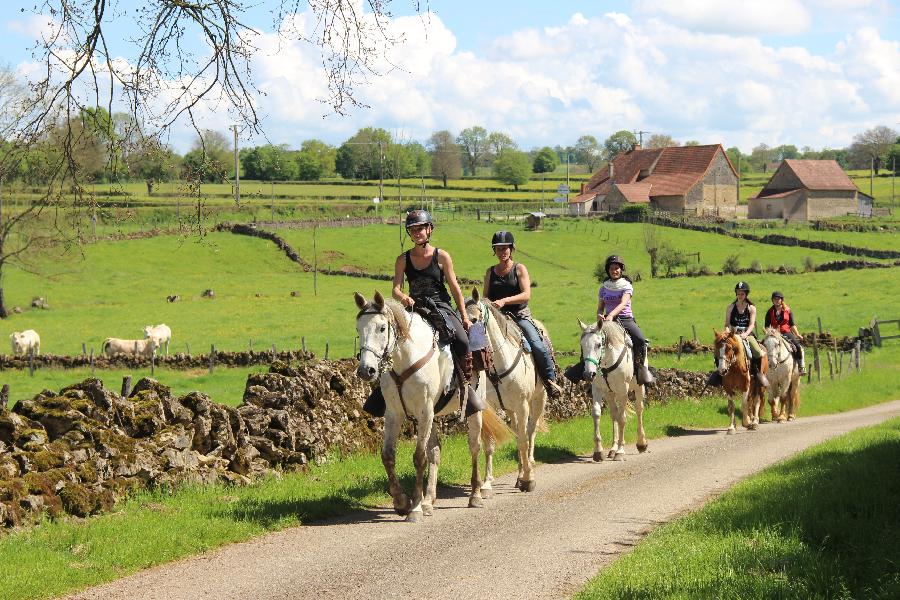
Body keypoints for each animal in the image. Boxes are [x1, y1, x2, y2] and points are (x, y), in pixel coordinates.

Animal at [354, 290, 510, 520]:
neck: (406, 359)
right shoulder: (394, 414)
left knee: (474, 446)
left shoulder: (424, 411)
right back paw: (429, 500)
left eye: (381, 328)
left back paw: (475, 495)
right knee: (435, 452)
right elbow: (388, 455)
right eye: (359, 329)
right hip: (433, 417)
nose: (366, 371)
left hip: (472, 410)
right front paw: (401, 501)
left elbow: (419, 457)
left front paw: (415, 508)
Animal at [464, 290, 548, 492]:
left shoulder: (523, 405)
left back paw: (528, 468)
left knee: (530, 432)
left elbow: (524, 441)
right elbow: (490, 443)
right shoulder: (492, 408)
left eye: (475, 319)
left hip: (538, 400)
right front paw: (487, 483)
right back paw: (519, 474)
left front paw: (529, 479)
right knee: (518, 431)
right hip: (510, 409)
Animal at [576, 322, 648, 462]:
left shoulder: (623, 391)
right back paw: (613, 449)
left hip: (638, 387)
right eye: (582, 345)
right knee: (614, 414)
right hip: (610, 393)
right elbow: (597, 414)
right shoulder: (597, 389)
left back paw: (641, 443)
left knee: (639, 409)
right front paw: (598, 451)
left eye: (598, 344)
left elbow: (622, 418)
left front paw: (620, 451)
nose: (588, 374)